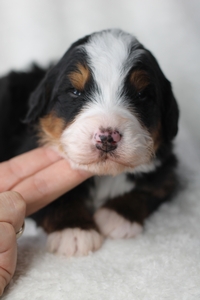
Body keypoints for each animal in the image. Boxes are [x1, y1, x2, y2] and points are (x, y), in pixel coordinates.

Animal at [0, 29, 179, 256]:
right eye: (75, 92)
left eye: (141, 95)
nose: (107, 138)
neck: (102, 175)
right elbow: (54, 199)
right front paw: (74, 230)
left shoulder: (166, 170)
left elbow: (150, 189)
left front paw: (117, 216)